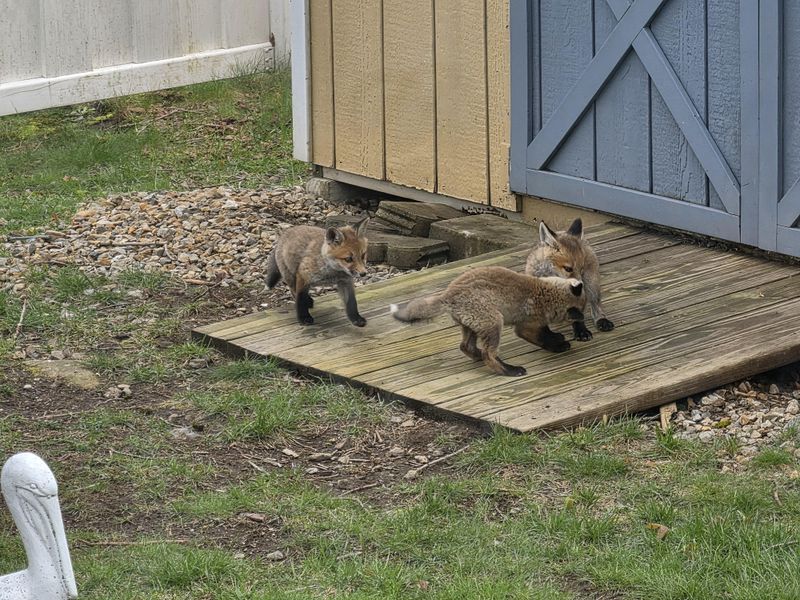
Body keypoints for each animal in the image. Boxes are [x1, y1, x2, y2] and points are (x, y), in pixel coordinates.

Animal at [390, 266, 586, 376]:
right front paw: (558, 346)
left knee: (465, 346)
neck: (546, 292)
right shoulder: (525, 326)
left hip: (473, 326)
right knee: (488, 355)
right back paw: (510, 370)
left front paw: (558, 338)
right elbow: (543, 338)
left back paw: (478, 356)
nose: (582, 321)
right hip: (494, 322)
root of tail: (447, 295)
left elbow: (547, 332)